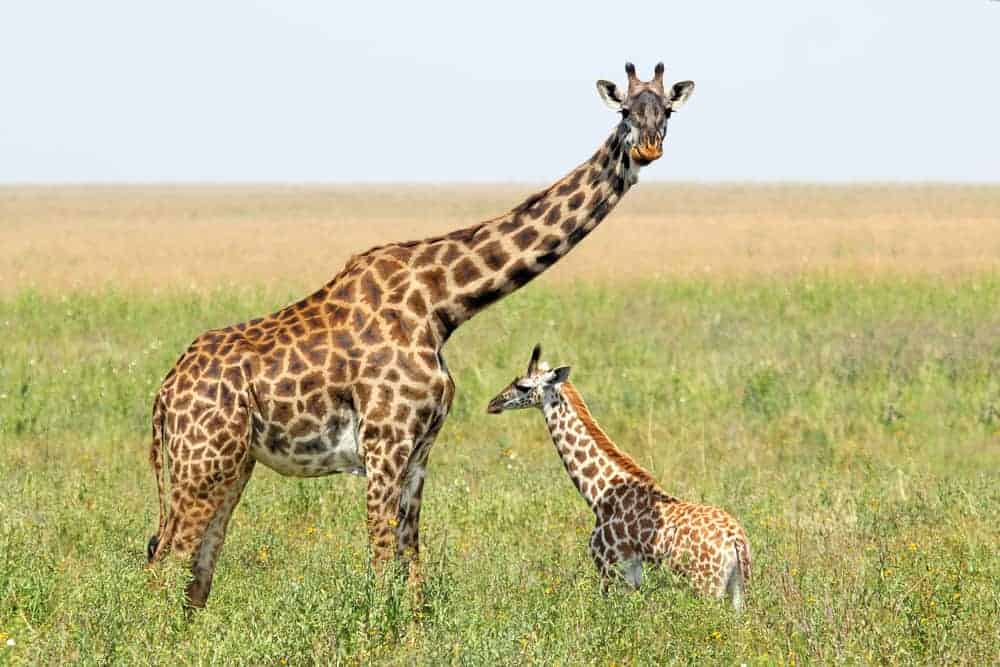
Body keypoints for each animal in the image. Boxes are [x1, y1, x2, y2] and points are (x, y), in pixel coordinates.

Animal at [146, 62, 696, 608]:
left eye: (667, 111)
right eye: (625, 111)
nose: (648, 149)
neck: (440, 304)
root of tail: (165, 393)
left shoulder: (419, 451)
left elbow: (412, 565)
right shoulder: (385, 443)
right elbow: (381, 560)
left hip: (231, 463)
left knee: (195, 565)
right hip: (203, 460)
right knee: (166, 558)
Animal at [486, 345, 751, 610]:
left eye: (523, 386)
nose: (493, 403)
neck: (598, 493)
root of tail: (736, 540)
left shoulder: (611, 568)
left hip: (705, 586)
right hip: (737, 589)